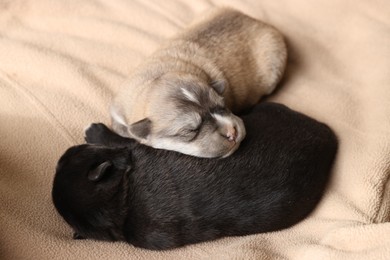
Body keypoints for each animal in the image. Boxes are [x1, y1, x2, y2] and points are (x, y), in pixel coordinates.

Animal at [51, 102, 338, 251]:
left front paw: (96, 130)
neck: (121, 205)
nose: (64, 152)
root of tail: (327, 135)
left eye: (72, 155)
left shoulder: (137, 151)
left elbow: (123, 140)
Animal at [111, 8, 288, 157]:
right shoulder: (119, 109)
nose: (232, 132)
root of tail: (255, 20)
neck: (155, 78)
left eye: (223, 105)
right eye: (191, 130)